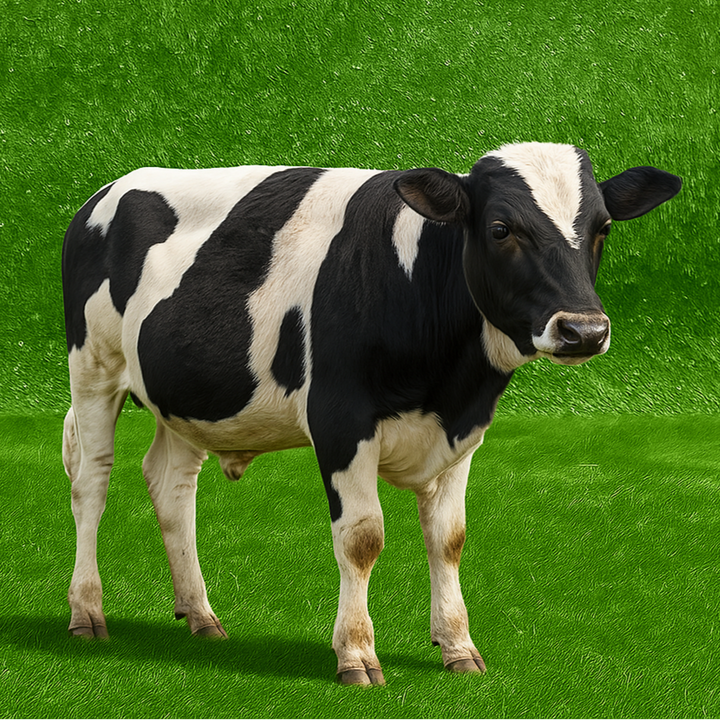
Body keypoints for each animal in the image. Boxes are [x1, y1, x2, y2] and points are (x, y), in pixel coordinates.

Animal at [61, 142, 681, 685]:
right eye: (501, 229)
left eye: (602, 227)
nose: (584, 330)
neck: (447, 381)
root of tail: (106, 191)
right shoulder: (340, 421)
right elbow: (362, 539)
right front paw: (356, 654)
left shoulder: (464, 431)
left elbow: (449, 538)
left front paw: (458, 646)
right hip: (93, 366)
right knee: (92, 481)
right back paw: (87, 612)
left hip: (183, 398)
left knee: (171, 484)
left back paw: (200, 615)